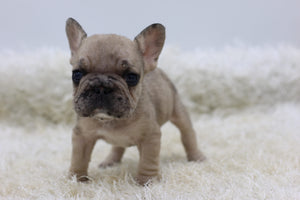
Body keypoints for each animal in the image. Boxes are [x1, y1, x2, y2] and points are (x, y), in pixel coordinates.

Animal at [65, 18, 206, 185]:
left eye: (132, 77)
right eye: (77, 74)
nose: (101, 87)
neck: (112, 121)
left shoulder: (150, 136)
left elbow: (148, 161)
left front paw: (147, 181)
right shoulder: (82, 136)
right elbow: (78, 158)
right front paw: (76, 179)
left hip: (178, 111)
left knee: (187, 134)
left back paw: (196, 157)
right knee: (118, 147)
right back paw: (110, 161)